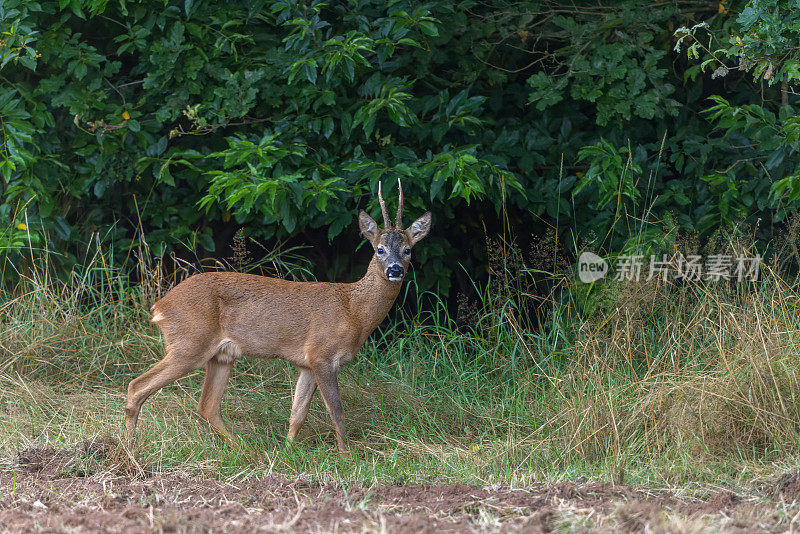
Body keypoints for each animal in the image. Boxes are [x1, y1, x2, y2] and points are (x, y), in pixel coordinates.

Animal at [124, 180, 432, 452]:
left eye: (408, 250)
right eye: (379, 249)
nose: (395, 270)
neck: (354, 311)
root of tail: (160, 306)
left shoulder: (306, 363)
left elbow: (298, 413)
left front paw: (288, 451)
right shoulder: (322, 354)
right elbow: (336, 411)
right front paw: (347, 456)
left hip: (221, 355)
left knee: (207, 406)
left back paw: (245, 450)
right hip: (189, 343)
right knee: (137, 386)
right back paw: (130, 449)